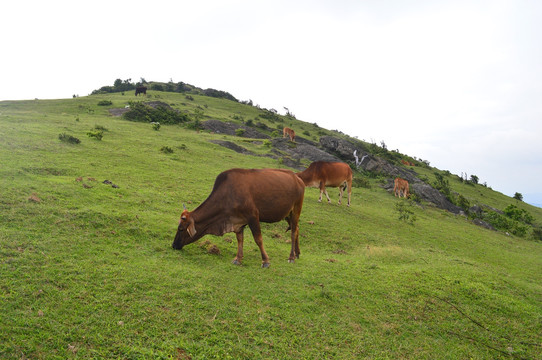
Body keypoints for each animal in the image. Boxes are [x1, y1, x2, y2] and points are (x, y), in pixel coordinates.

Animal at [172, 169, 306, 268]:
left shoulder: (253, 216)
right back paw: (297, 253)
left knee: (293, 232)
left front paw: (265, 261)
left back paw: (291, 257)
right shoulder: (237, 221)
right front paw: (238, 258)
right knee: (297, 229)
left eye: (181, 229)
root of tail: (297, 177)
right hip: (287, 214)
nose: (174, 245)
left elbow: (258, 239)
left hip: (296, 209)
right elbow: (239, 239)